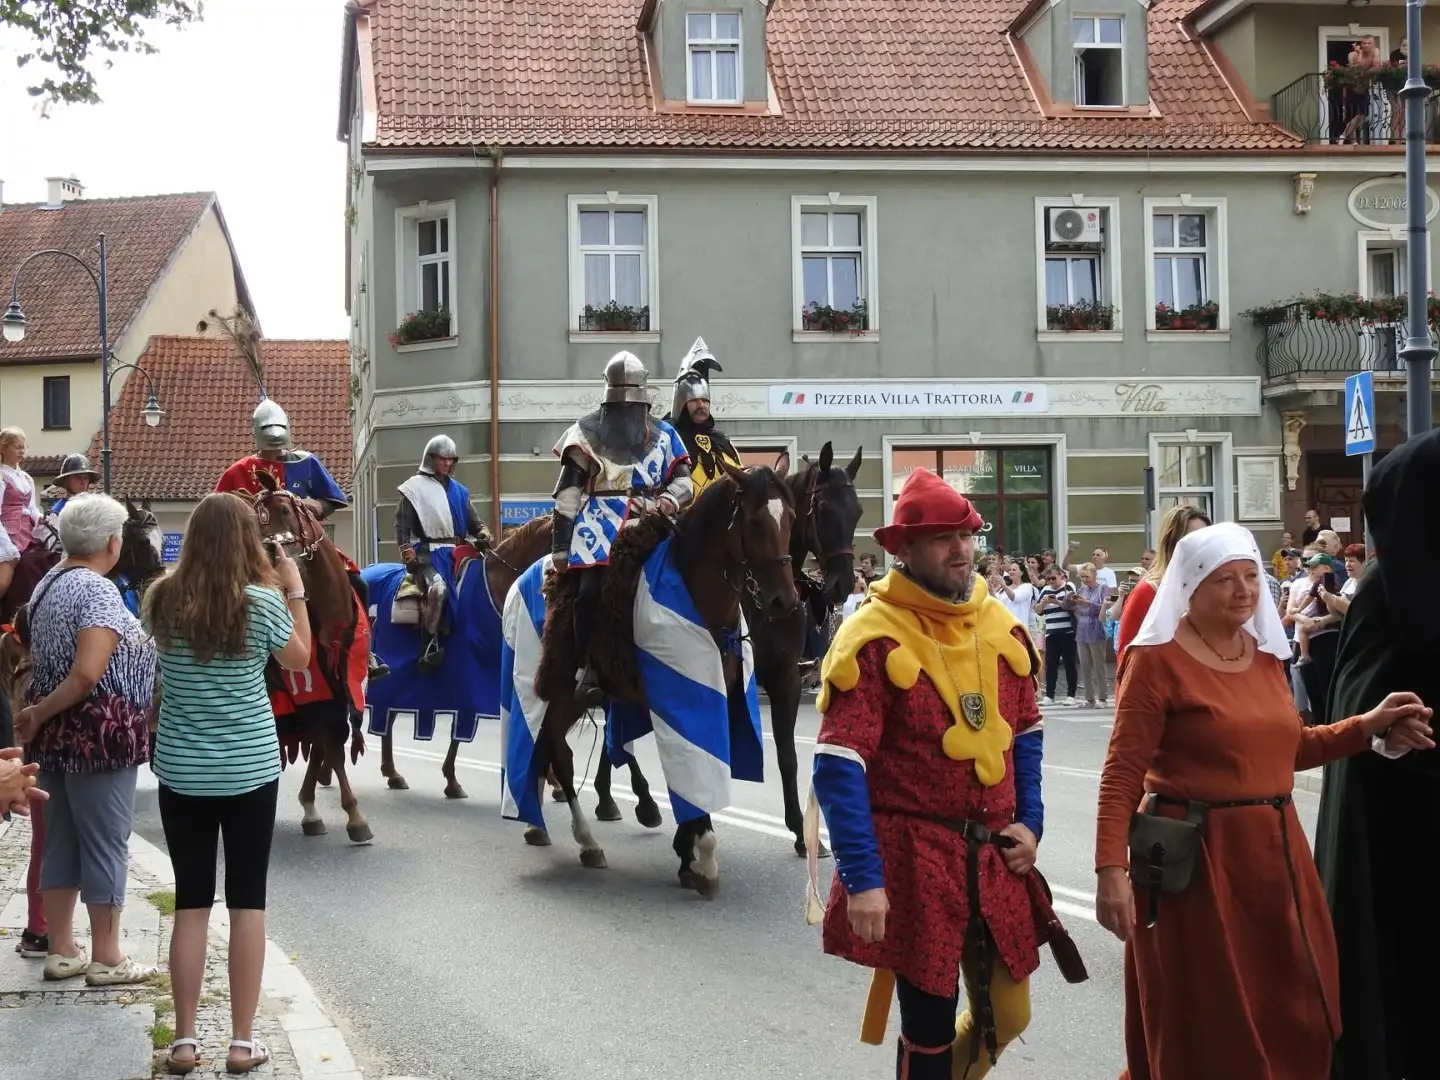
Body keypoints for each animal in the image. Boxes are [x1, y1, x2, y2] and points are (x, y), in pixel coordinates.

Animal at [249, 473, 373, 844]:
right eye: (254, 521)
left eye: (286, 510)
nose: (272, 559)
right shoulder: (312, 691)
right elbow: (329, 745)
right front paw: (354, 817)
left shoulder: (341, 688)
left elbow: (326, 745)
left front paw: (313, 807)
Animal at [516, 457, 797, 895]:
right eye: (752, 521)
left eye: (791, 519)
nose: (784, 601)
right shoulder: (680, 697)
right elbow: (690, 772)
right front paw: (703, 859)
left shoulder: (715, 695)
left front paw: (688, 853)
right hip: (559, 689)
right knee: (555, 753)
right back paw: (586, 841)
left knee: (555, 749)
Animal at [743, 443, 863, 857]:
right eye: (823, 507)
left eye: (858, 511)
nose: (843, 584)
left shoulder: (786, 679)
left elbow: (787, 757)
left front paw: (801, 833)